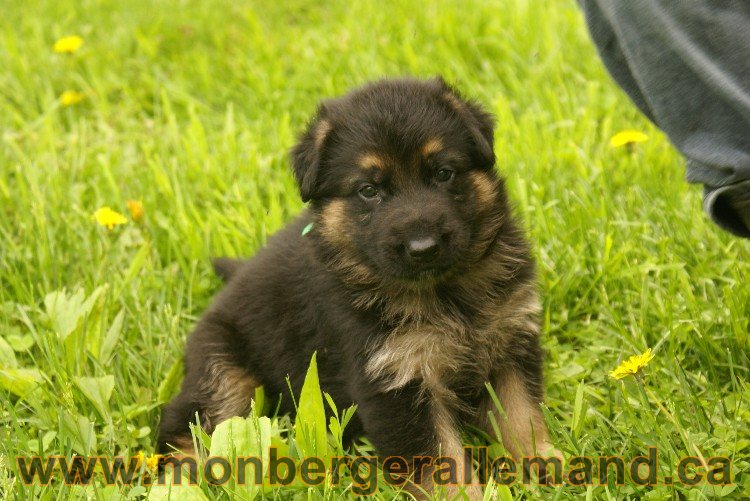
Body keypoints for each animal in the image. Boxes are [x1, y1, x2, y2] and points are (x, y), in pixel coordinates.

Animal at [157, 76, 560, 494]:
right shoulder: (396, 379)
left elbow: (520, 416)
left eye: (443, 173)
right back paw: (179, 481)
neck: (445, 293)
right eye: (369, 190)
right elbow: (440, 461)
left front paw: (542, 465)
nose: (423, 247)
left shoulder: (511, 342)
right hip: (223, 373)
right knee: (185, 425)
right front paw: (464, 495)